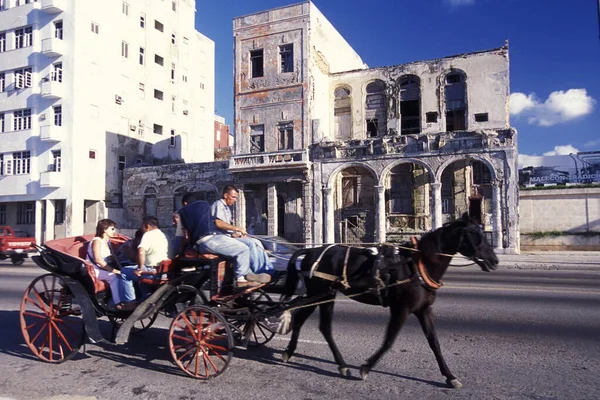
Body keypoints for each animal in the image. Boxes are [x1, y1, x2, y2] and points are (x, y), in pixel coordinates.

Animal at [280, 216, 496, 388]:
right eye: (474, 234)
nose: (494, 260)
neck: (417, 264)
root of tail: (311, 252)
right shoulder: (401, 308)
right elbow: (389, 341)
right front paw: (366, 367)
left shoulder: (424, 309)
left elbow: (434, 342)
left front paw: (450, 376)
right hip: (322, 293)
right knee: (321, 326)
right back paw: (339, 364)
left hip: (322, 294)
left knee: (305, 320)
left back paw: (295, 353)